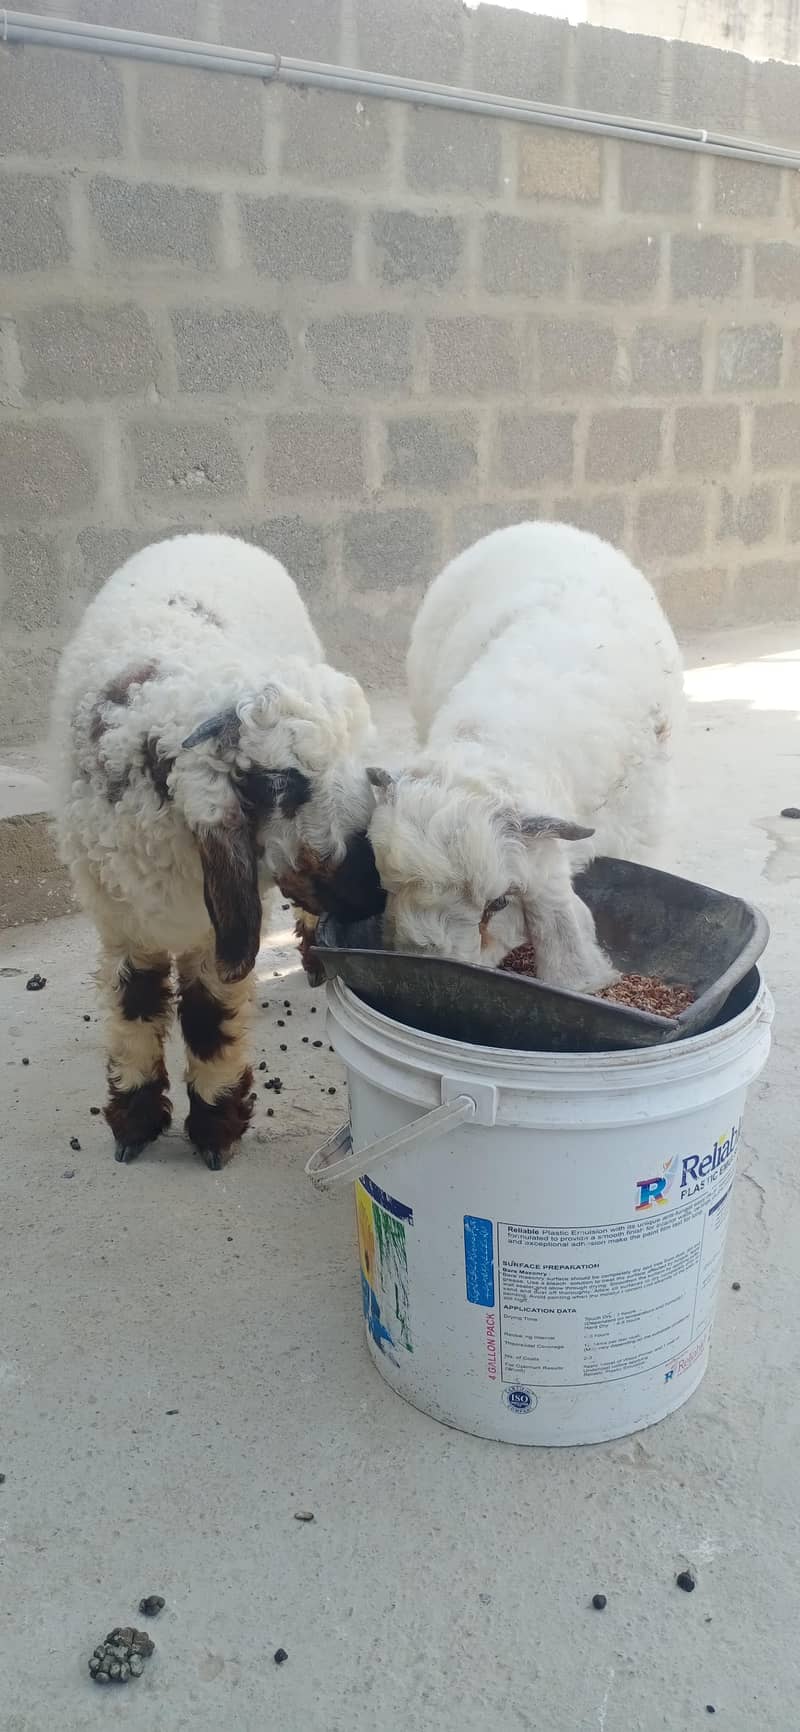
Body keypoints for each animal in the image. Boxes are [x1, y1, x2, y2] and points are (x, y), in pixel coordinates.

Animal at [50, 532, 384, 1170]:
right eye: (281, 781)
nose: (374, 889)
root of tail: (210, 536)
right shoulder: (122, 920)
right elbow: (135, 1005)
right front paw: (133, 1124)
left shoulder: (213, 932)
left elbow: (209, 1017)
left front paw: (214, 1131)